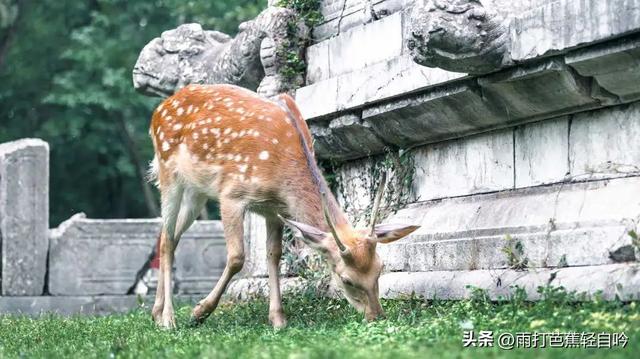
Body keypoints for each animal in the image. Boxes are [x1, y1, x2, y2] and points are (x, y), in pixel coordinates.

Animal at [148, 83, 422, 330]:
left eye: (380, 269)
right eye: (347, 279)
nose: (377, 316)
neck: (282, 175)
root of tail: (158, 110)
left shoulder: (273, 209)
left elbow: (274, 255)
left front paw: (278, 319)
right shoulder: (232, 194)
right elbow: (237, 257)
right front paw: (199, 312)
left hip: (197, 191)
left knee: (167, 235)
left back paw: (156, 313)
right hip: (168, 172)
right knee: (168, 238)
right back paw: (169, 319)